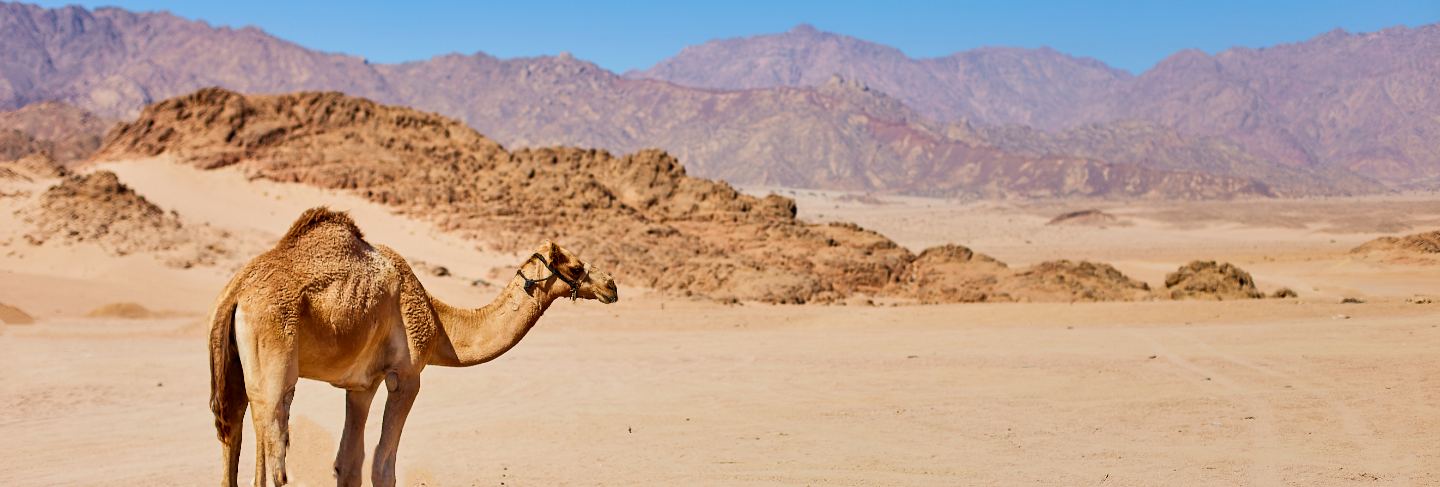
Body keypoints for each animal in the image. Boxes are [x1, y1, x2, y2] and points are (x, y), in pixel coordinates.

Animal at [207, 207, 619, 484]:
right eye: (576, 266)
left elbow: (349, 463)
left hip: (235, 373)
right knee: (274, 450)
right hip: (275, 360)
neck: (439, 325)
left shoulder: (363, 384)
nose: (611, 285)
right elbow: (382, 465)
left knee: (233, 434)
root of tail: (236, 293)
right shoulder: (405, 376)